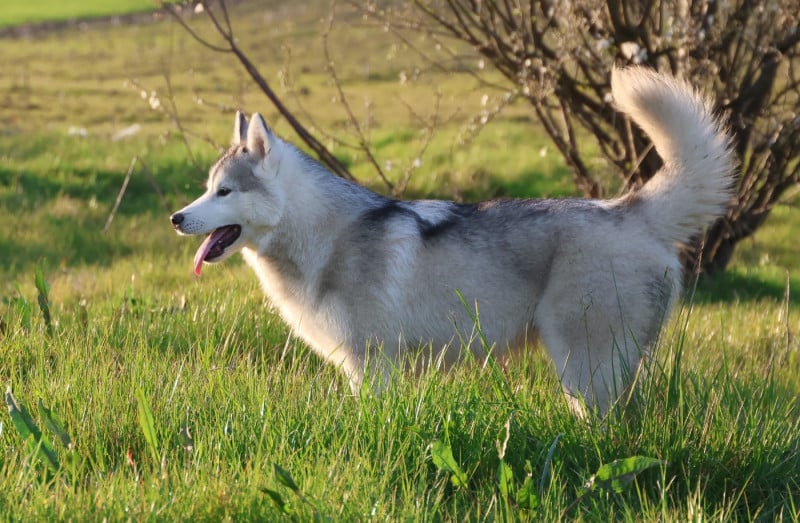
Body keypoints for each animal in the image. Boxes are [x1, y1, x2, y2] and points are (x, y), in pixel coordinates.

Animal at [170, 66, 735, 415]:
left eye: (224, 191)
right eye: (205, 187)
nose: (177, 218)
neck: (321, 236)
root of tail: (631, 210)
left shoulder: (372, 366)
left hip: (583, 368)